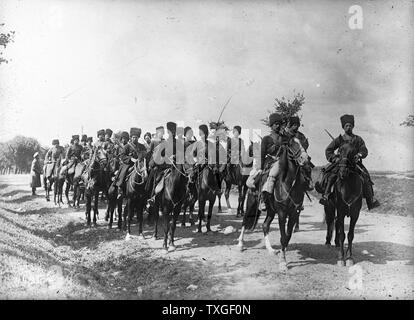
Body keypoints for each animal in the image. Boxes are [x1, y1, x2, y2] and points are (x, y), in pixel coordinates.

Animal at [238, 138, 308, 272]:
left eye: (304, 143)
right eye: (292, 144)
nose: (305, 158)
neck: (288, 184)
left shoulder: (293, 214)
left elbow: (287, 237)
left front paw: (282, 256)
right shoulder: (282, 214)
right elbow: (283, 237)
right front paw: (283, 263)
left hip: (270, 211)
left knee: (265, 225)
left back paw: (270, 249)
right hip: (251, 204)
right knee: (244, 221)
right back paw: (240, 245)